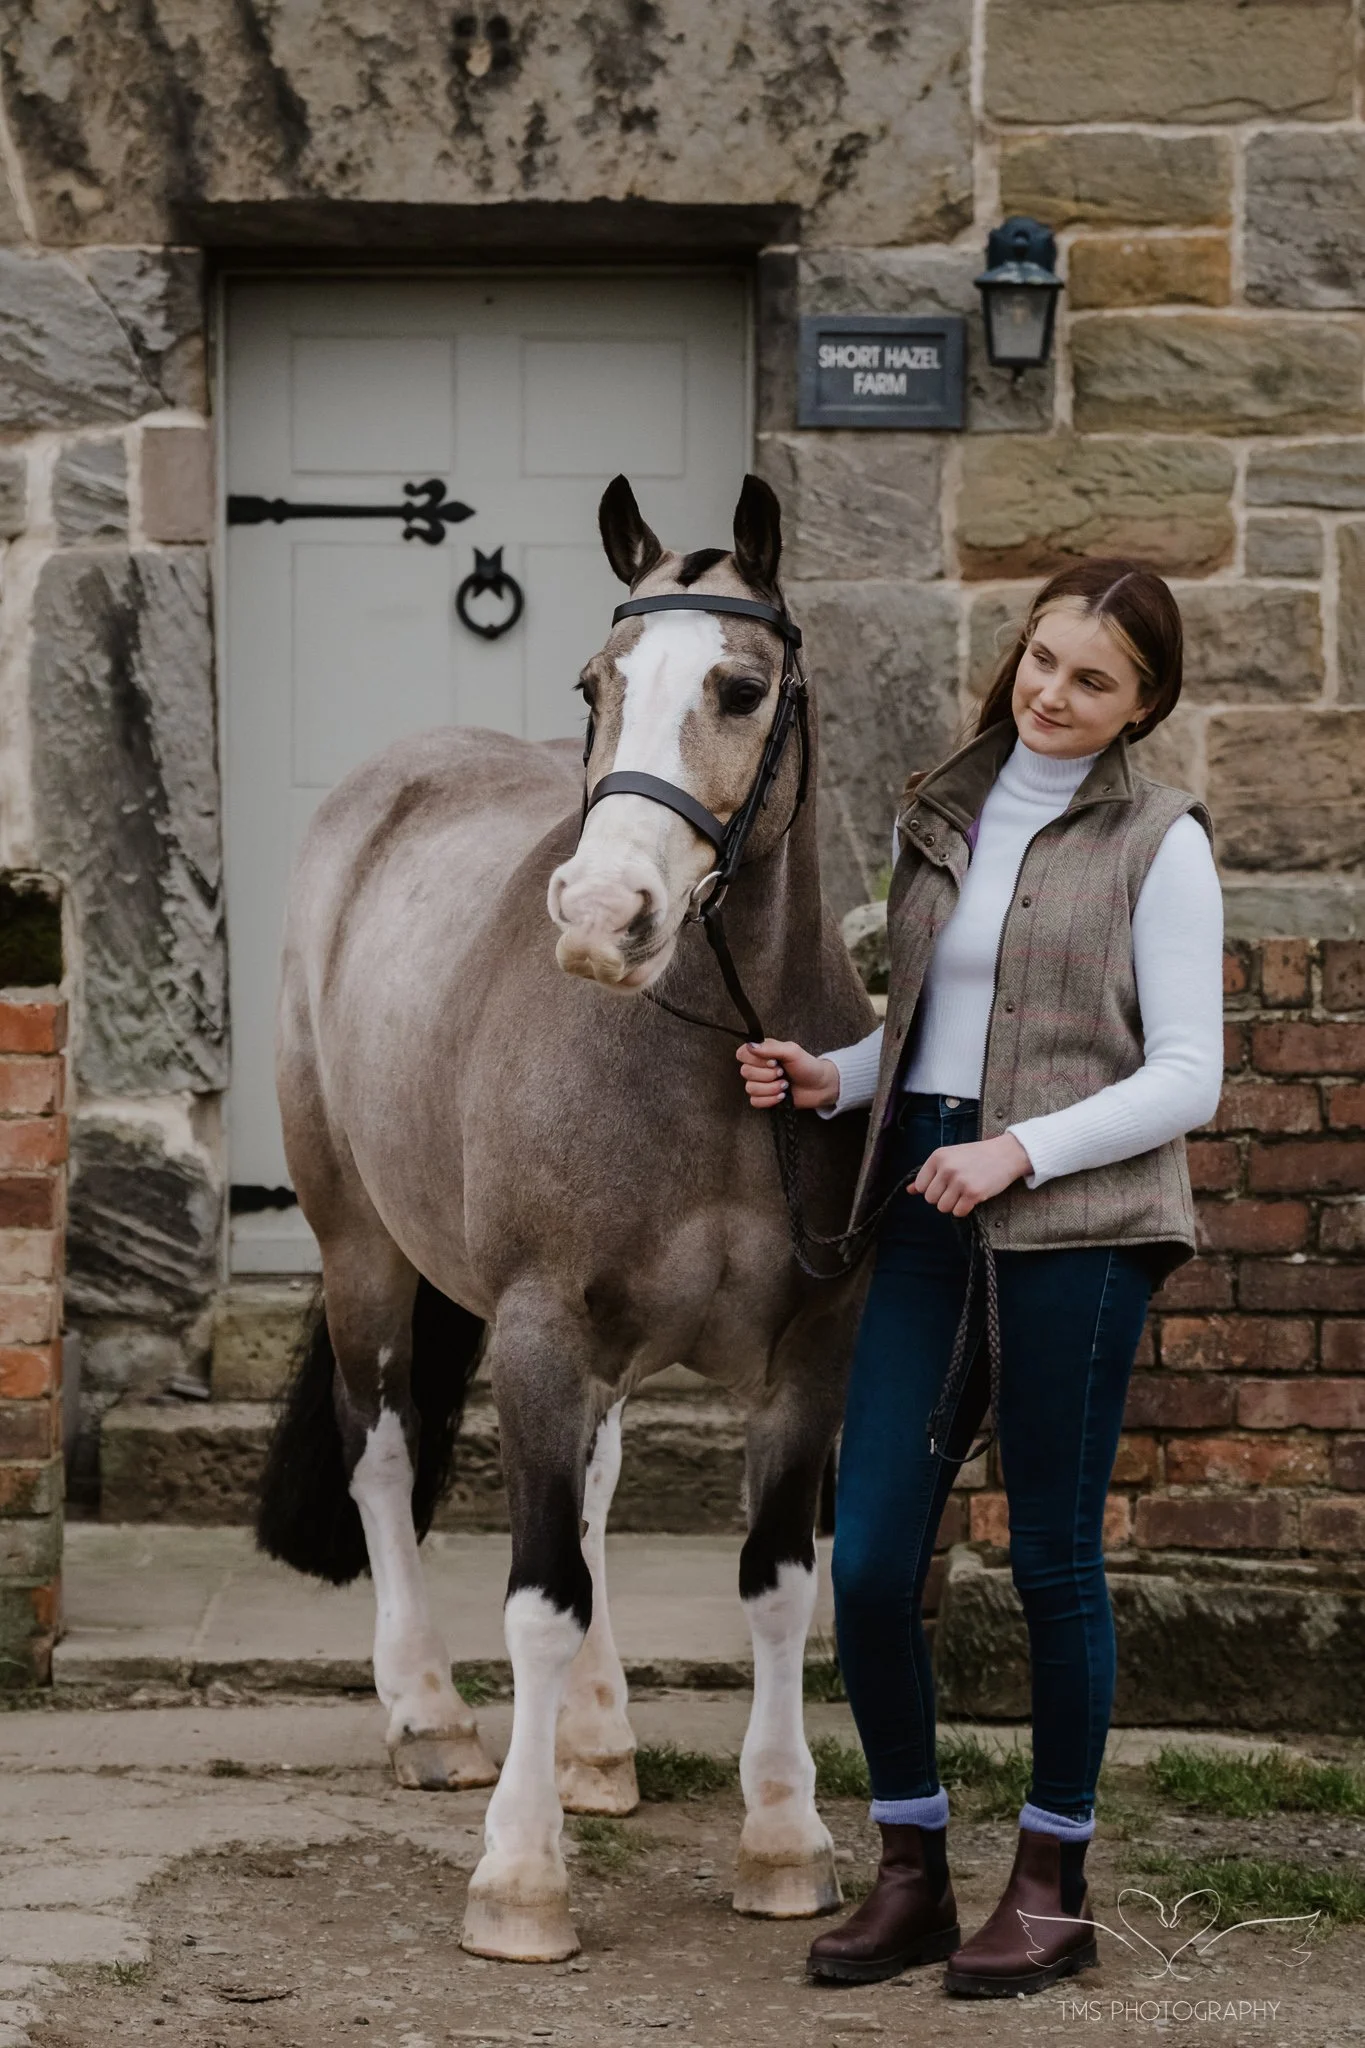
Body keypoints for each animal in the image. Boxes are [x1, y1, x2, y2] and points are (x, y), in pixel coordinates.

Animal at [256, 472, 877, 1963]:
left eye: (740, 687)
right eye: (599, 683)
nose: (604, 913)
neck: (707, 1059)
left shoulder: (809, 1362)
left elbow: (779, 1584)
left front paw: (784, 1838)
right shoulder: (537, 1332)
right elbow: (538, 1596)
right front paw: (520, 1875)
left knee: (591, 1495)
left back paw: (596, 1742)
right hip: (362, 1246)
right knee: (383, 1454)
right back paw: (427, 1714)